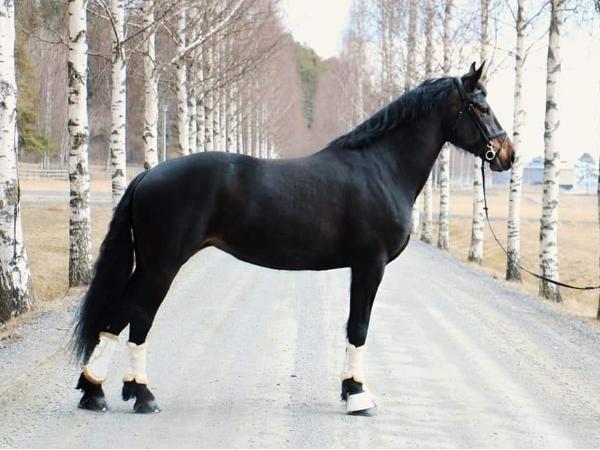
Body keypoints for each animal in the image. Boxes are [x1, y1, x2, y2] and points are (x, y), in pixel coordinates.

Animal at [72, 63, 513, 415]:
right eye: (482, 107)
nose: (508, 153)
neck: (381, 167)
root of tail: (147, 175)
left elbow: (354, 327)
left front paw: (350, 391)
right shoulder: (369, 265)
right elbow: (359, 327)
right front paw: (357, 396)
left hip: (150, 265)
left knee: (118, 318)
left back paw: (97, 392)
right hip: (161, 266)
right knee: (138, 316)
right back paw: (142, 396)